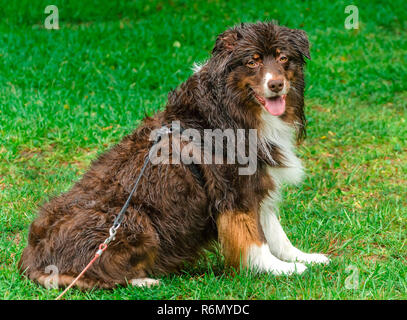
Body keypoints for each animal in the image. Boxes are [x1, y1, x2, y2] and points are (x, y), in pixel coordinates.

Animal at [19, 21, 332, 288]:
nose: (276, 84)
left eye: (283, 58)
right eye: (252, 61)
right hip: (134, 218)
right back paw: (144, 280)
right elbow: (253, 238)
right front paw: (279, 269)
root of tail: (31, 261)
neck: (232, 109)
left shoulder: (257, 182)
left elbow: (276, 232)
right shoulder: (234, 189)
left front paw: (302, 258)